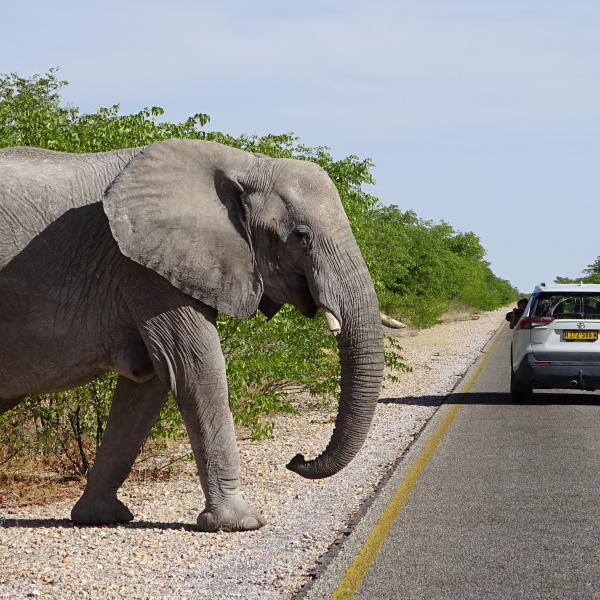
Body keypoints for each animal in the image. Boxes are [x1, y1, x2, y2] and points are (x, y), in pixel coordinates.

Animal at [0, 139, 384, 528]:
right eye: (302, 237)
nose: (296, 459)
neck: (246, 165)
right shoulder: (145, 269)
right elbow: (195, 368)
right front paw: (240, 523)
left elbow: (148, 386)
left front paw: (101, 516)